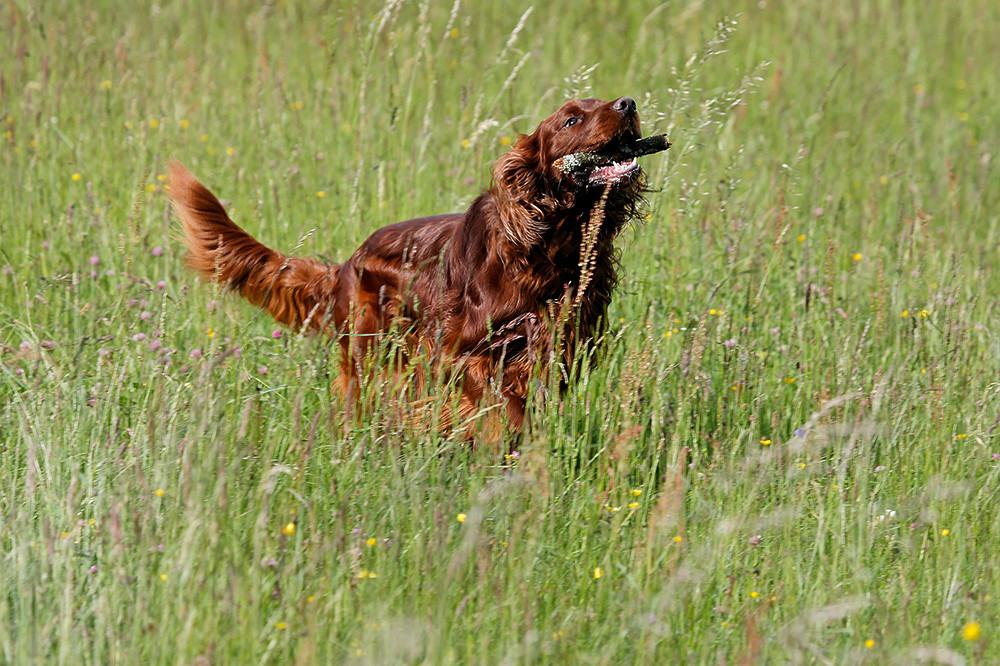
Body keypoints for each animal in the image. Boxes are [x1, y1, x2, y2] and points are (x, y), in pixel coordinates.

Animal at [172, 96, 648, 428]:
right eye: (571, 120)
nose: (628, 103)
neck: (550, 244)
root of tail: (346, 265)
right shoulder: (460, 352)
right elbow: (506, 407)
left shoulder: (564, 346)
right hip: (370, 353)